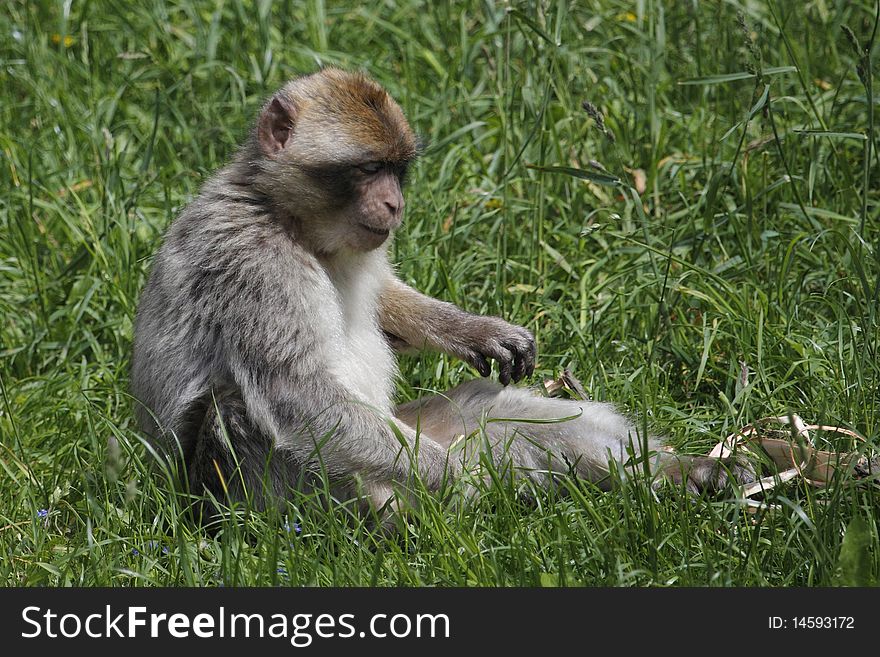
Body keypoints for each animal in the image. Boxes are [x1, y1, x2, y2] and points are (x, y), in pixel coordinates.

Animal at [131, 68, 748, 516]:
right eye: (368, 169)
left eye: (397, 169)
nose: (394, 204)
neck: (289, 220)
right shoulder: (252, 262)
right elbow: (297, 393)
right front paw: (457, 477)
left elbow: (383, 301)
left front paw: (478, 332)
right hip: (272, 493)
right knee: (237, 408)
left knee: (496, 412)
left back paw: (685, 474)